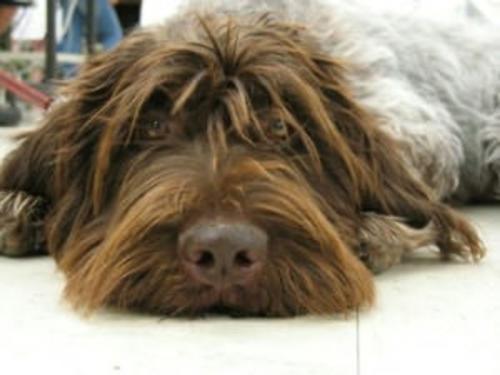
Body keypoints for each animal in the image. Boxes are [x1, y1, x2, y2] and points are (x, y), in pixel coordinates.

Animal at [0, 0, 496, 318]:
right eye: (153, 126)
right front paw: (20, 209)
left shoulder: (419, 126)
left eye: (278, 127)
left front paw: (376, 231)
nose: (223, 250)